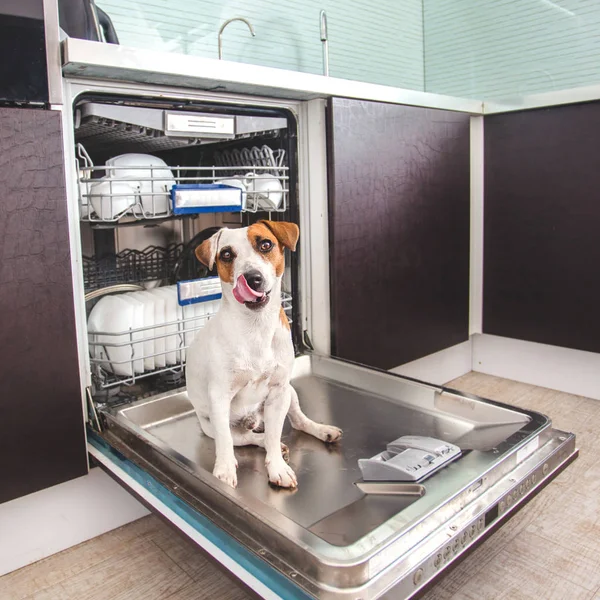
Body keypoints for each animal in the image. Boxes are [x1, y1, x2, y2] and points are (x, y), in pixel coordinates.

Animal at [185, 220, 342, 488]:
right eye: (226, 254)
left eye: (266, 244)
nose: (252, 278)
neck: (255, 327)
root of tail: (253, 420)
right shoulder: (219, 397)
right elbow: (226, 443)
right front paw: (224, 471)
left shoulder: (279, 392)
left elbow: (274, 436)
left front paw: (278, 468)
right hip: (211, 426)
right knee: (245, 438)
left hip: (290, 392)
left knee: (294, 423)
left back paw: (322, 431)